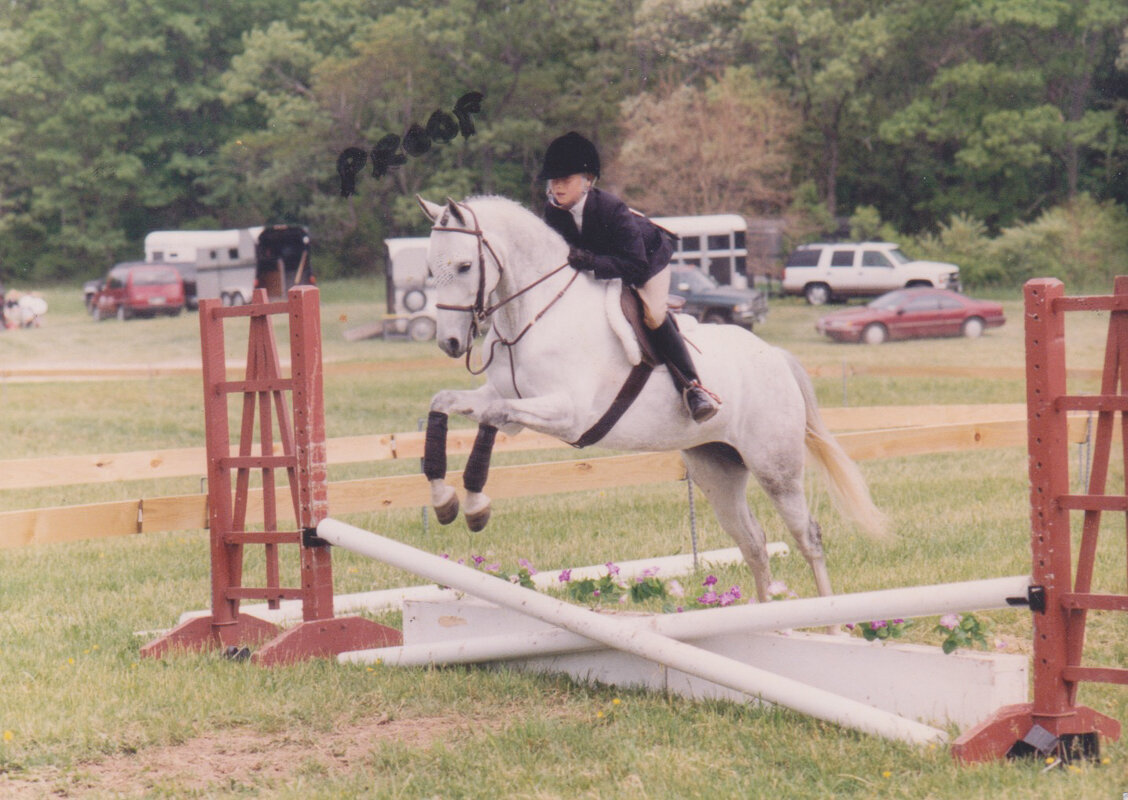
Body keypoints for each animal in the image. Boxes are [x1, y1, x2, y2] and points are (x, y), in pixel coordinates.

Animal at [417, 195, 888, 600]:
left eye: (464, 266)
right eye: (430, 270)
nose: (451, 343)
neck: (532, 316)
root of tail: (775, 356)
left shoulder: (567, 413)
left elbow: (492, 416)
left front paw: (474, 507)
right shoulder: (509, 404)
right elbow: (444, 403)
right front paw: (444, 502)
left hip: (776, 467)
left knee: (807, 536)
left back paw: (830, 623)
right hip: (716, 467)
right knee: (753, 542)